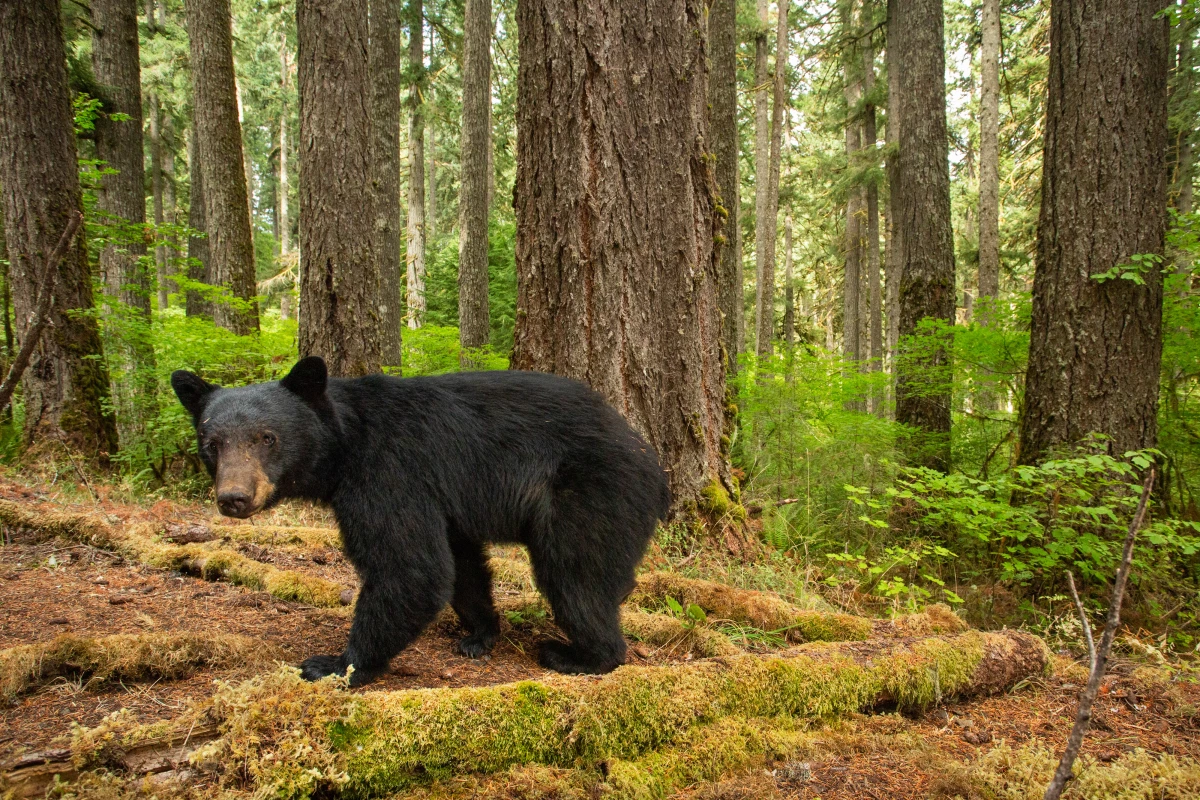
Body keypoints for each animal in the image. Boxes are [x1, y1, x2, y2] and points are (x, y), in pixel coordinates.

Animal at [171, 356, 670, 686]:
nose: (234, 498)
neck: (346, 443)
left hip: (589, 494)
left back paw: (579, 655)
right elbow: (460, 563)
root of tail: (656, 465)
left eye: (267, 437)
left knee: (575, 575)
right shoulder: (443, 500)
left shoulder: (389, 472)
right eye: (212, 443)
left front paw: (336, 663)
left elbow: (410, 567)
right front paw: (480, 634)